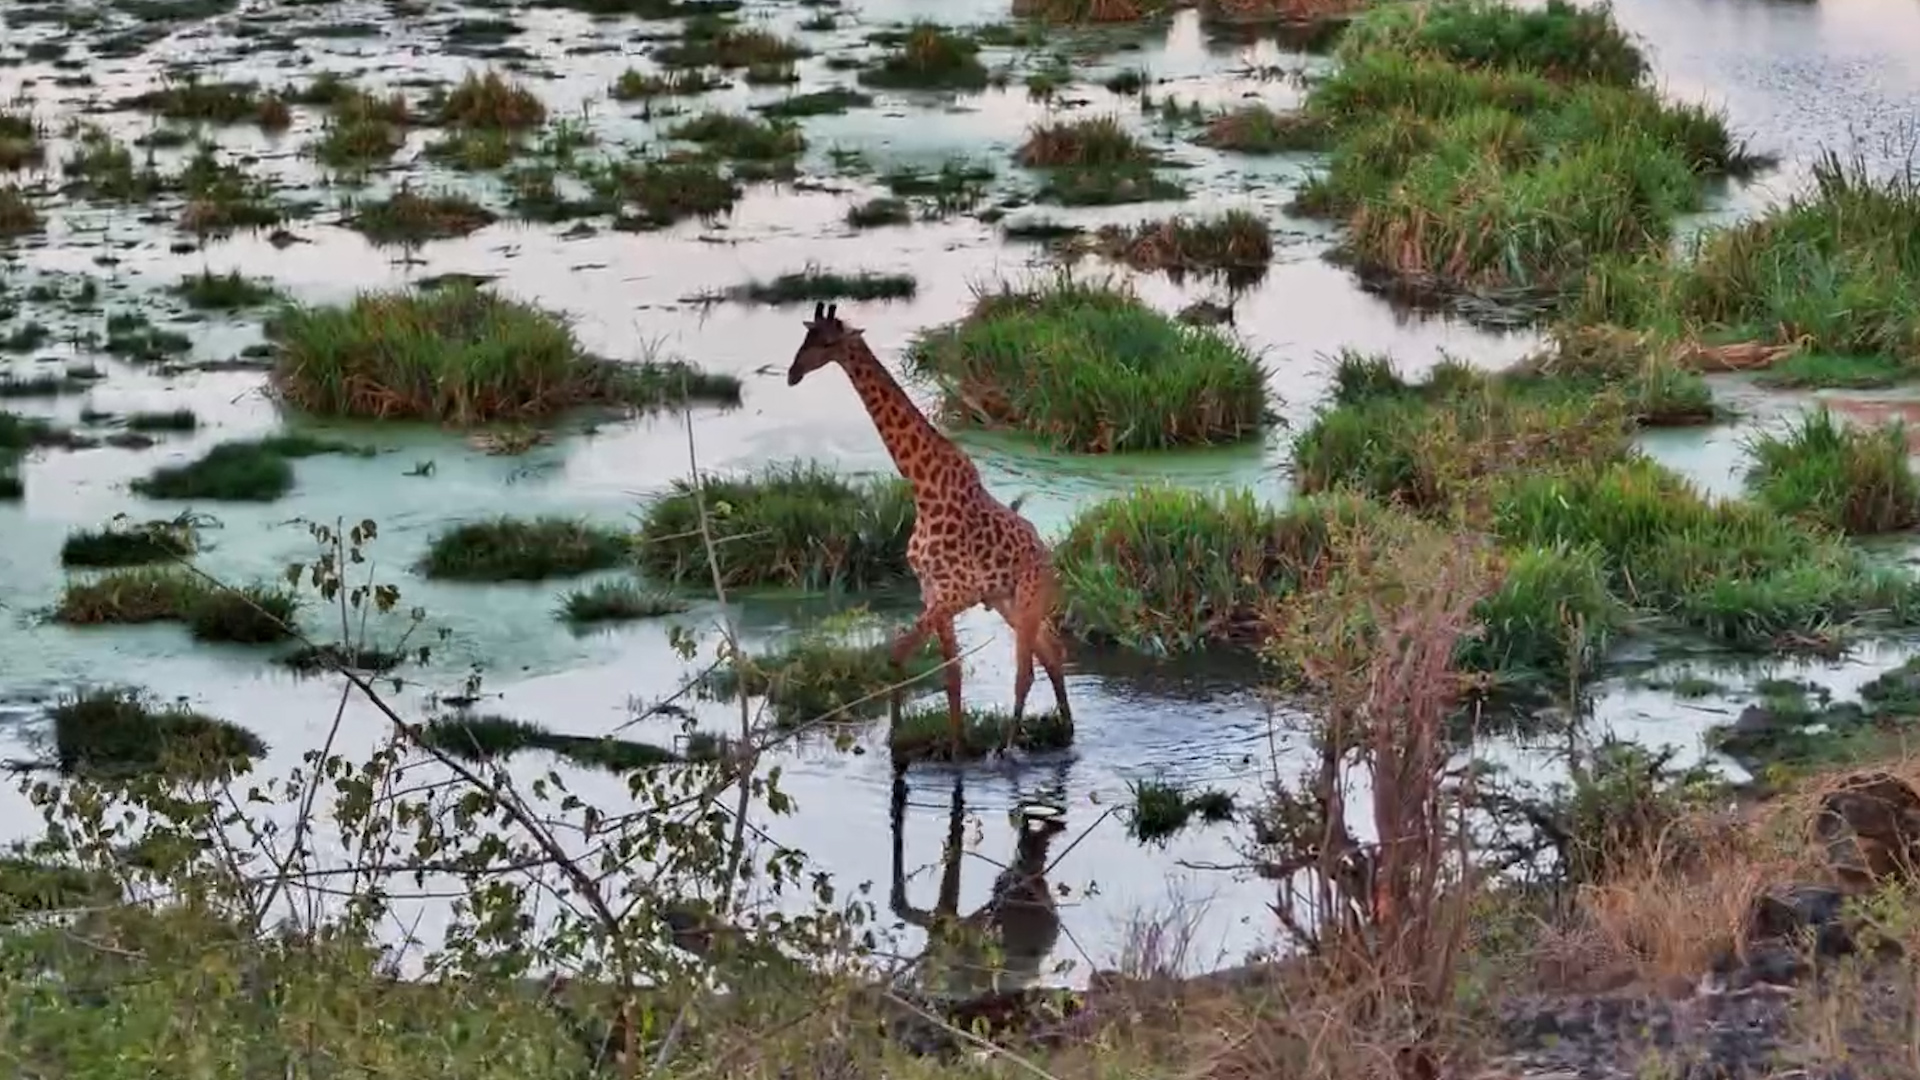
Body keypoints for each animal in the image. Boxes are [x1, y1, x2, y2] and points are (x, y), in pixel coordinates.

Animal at [786, 301, 1072, 754]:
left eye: (827, 342)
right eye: (805, 337)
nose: (792, 373)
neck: (924, 487)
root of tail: (1049, 557)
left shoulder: (953, 593)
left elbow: (903, 653)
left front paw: (905, 744)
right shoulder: (934, 592)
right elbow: (945, 672)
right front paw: (944, 746)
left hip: (1028, 598)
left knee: (1026, 668)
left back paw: (1007, 747)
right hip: (1006, 601)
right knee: (1051, 651)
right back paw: (1065, 727)